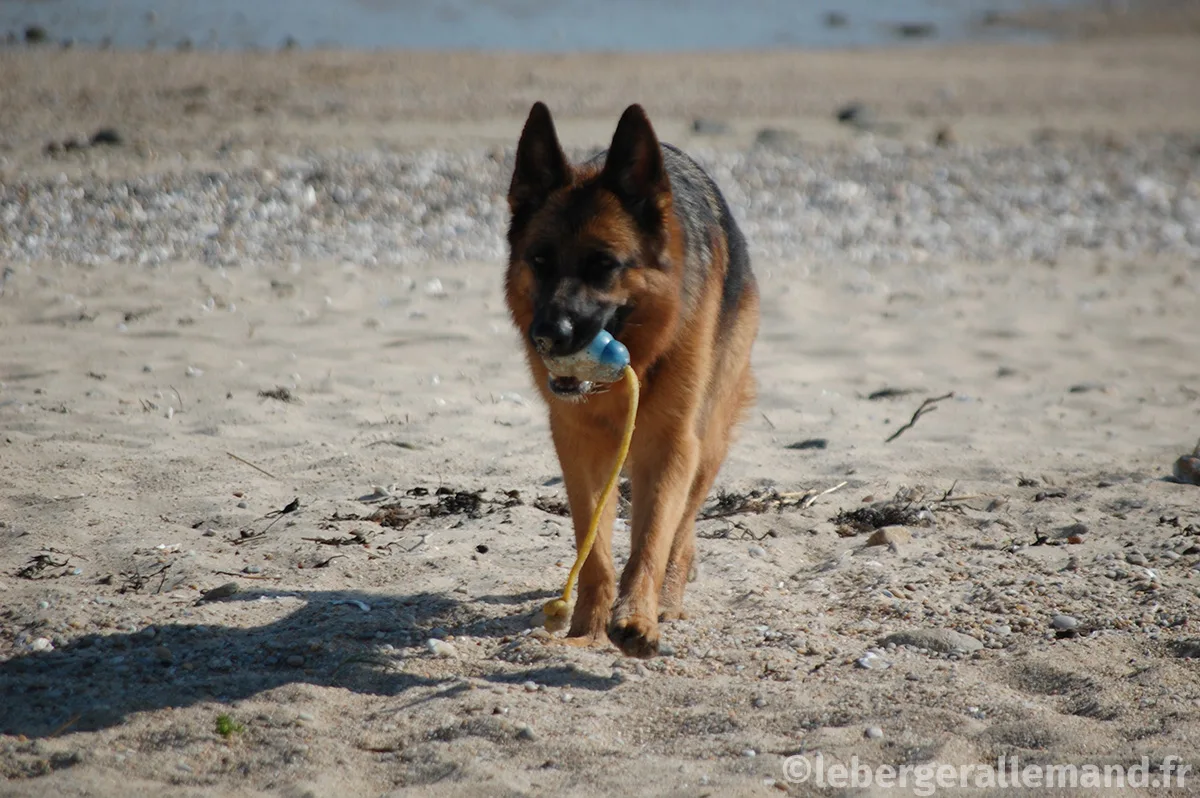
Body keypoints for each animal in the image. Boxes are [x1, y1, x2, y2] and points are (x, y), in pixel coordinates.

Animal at [506, 102, 758, 657]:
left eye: (604, 265)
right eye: (539, 260)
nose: (546, 337)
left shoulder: (671, 447)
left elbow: (651, 540)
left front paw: (637, 616)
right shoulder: (577, 450)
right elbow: (595, 551)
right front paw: (588, 627)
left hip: (707, 440)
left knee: (682, 529)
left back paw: (668, 597)